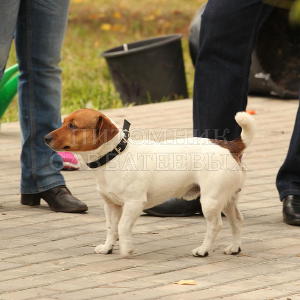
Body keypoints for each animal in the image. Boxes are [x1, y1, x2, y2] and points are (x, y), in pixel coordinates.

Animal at [45, 109, 254, 258]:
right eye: (64, 122)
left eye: (73, 126)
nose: (45, 138)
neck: (115, 156)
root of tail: (229, 146)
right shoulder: (111, 205)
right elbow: (111, 228)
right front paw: (107, 248)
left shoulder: (133, 203)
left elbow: (122, 227)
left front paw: (127, 249)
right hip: (227, 200)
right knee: (237, 221)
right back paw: (234, 247)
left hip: (210, 201)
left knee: (215, 226)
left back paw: (203, 250)